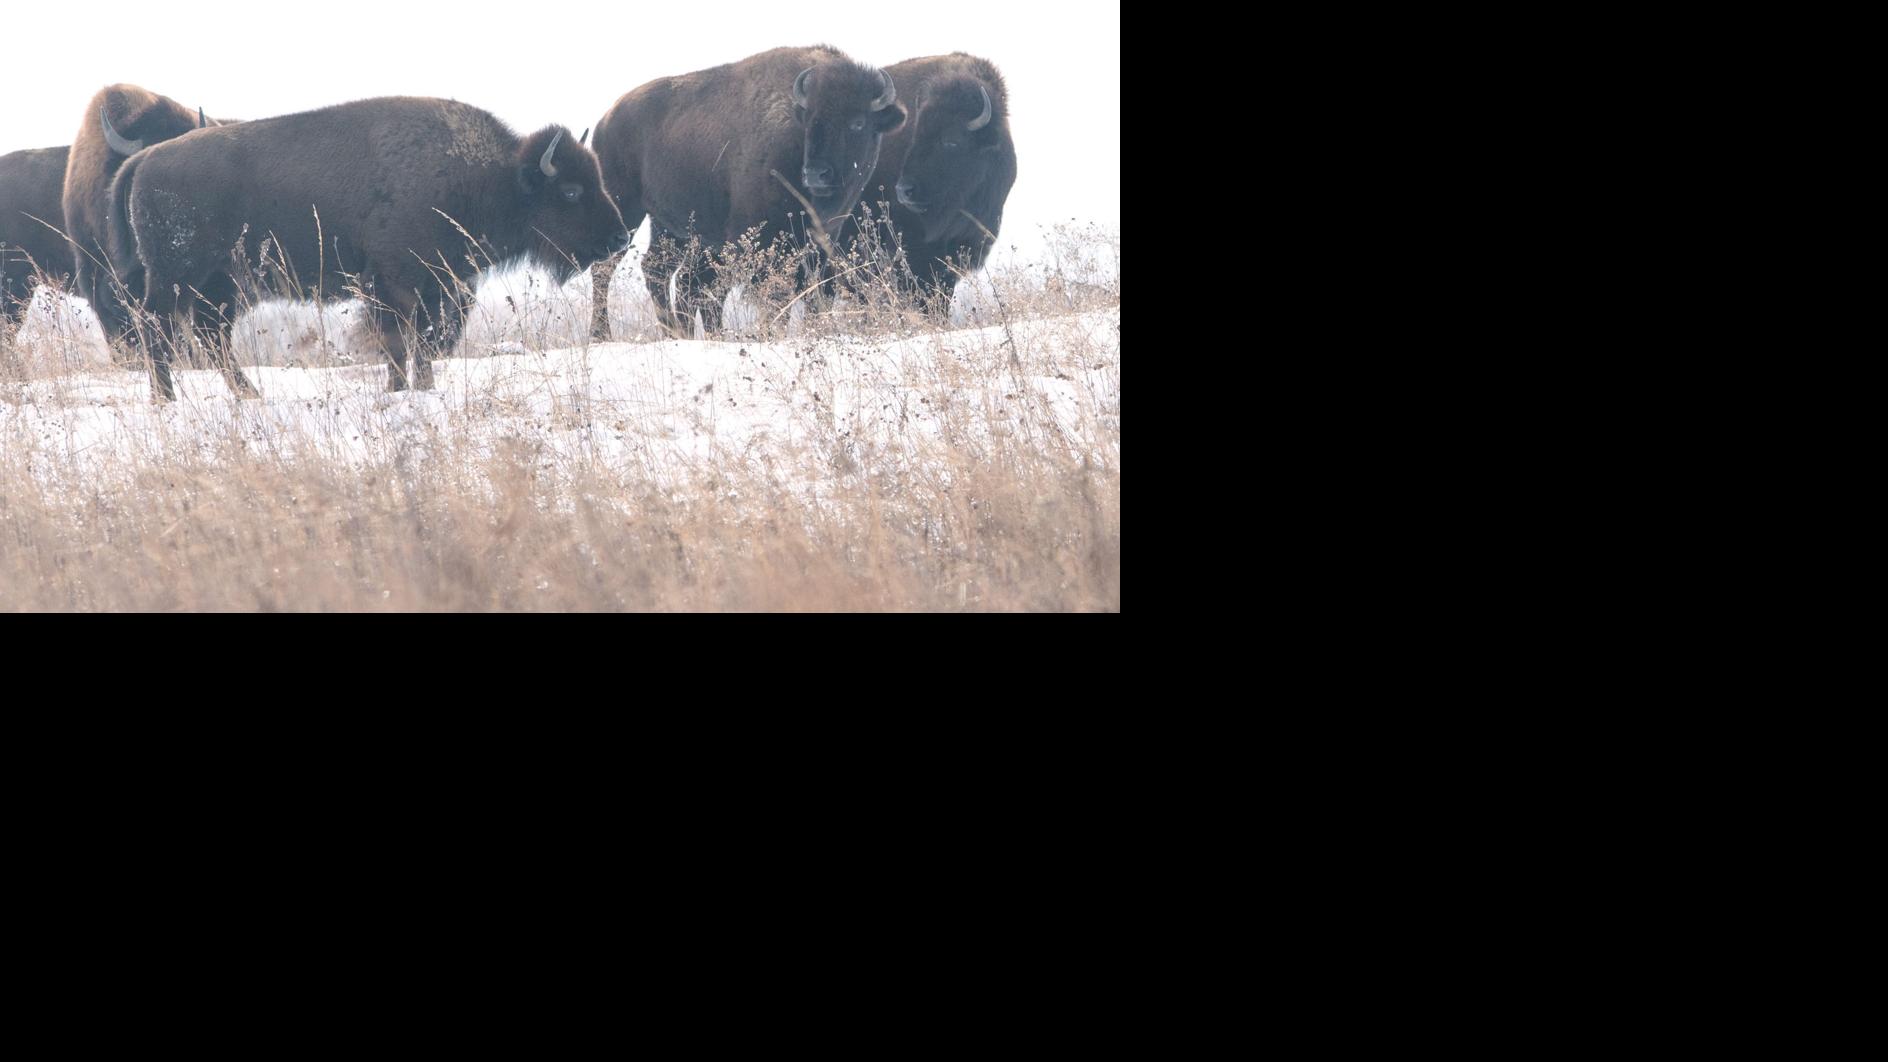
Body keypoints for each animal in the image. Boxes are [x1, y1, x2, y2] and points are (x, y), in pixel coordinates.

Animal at [107, 95, 629, 400]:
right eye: (571, 192)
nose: (619, 237)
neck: (491, 178)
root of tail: (143, 160)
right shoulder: (394, 282)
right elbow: (399, 340)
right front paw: (400, 391)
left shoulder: (433, 285)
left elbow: (422, 341)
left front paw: (419, 388)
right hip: (178, 275)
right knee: (159, 327)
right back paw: (166, 398)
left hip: (219, 283)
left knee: (211, 334)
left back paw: (248, 394)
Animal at [588, 45, 907, 339]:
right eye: (810, 120)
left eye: (858, 123)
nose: (816, 173)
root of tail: (606, 119)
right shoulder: (758, 241)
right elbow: (769, 294)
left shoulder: (821, 245)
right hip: (625, 208)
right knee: (605, 269)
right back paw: (602, 334)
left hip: (670, 227)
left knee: (659, 271)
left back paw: (676, 332)